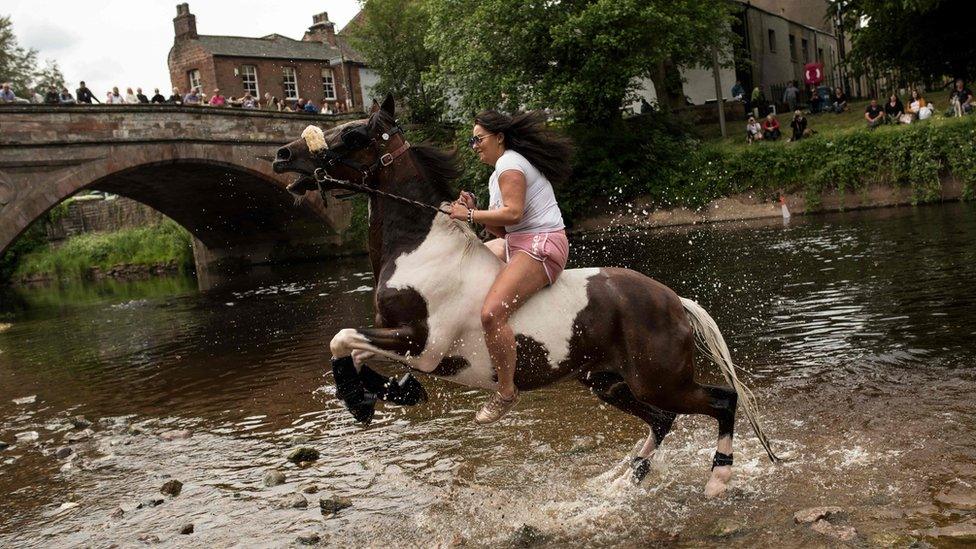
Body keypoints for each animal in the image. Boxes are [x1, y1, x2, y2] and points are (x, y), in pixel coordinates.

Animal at [272, 95, 776, 496]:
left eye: (352, 134)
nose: (281, 154)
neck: (419, 248)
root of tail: (674, 300)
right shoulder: (399, 339)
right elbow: (354, 349)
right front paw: (391, 392)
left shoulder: (423, 346)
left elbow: (341, 338)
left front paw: (363, 399)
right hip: (608, 381)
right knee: (662, 420)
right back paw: (629, 476)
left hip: (660, 380)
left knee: (721, 401)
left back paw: (717, 479)